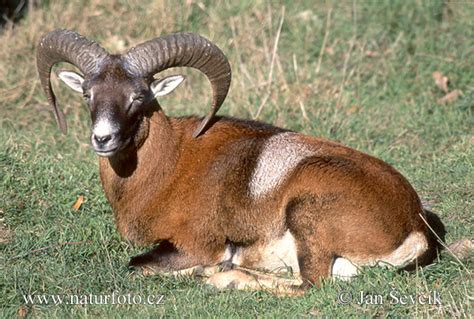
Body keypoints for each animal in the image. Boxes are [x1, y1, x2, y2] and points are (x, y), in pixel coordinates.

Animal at [37, 29, 444, 296]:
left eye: (137, 96)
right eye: (88, 93)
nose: (102, 138)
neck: (165, 169)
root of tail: (413, 224)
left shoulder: (194, 244)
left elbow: (138, 267)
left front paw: (212, 267)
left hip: (307, 216)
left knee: (311, 285)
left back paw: (223, 276)